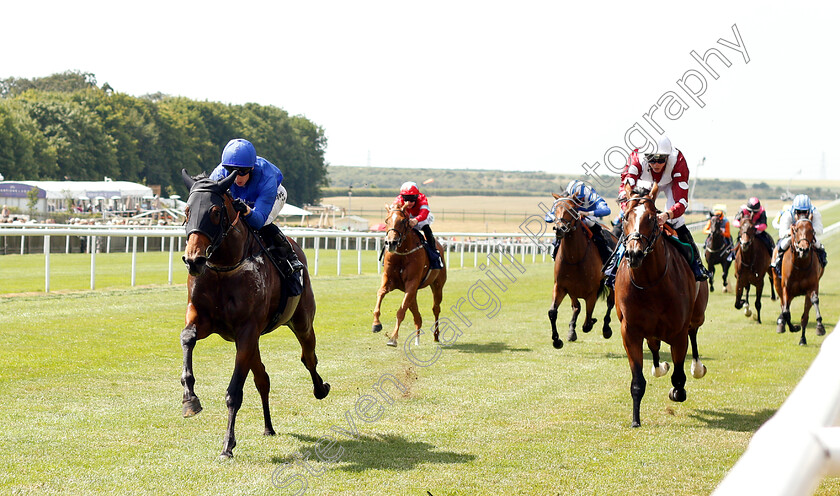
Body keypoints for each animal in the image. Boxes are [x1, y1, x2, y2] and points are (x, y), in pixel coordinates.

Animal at [181, 170, 332, 458]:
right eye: (186, 210)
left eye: (214, 212)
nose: (194, 260)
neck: (224, 267)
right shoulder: (204, 318)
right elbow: (187, 338)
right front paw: (189, 398)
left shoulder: (247, 330)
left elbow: (234, 392)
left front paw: (228, 445)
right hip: (253, 342)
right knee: (263, 378)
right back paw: (268, 427)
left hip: (301, 321)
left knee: (308, 356)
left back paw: (321, 388)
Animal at [370, 203, 446, 346]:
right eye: (386, 220)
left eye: (403, 221)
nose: (391, 243)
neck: (402, 253)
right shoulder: (389, 280)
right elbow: (380, 293)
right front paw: (376, 324)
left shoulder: (412, 282)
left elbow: (401, 310)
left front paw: (393, 338)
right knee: (416, 313)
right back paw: (417, 337)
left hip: (437, 285)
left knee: (436, 308)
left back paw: (436, 335)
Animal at [548, 192, 612, 346]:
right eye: (556, 208)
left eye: (572, 209)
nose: (559, 228)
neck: (574, 258)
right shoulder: (561, 286)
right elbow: (552, 312)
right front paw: (556, 340)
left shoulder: (592, 292)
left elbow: (587, 322)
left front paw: (594, 321)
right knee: (576, 306)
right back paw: (572, 330)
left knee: (610, 302)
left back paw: (606, 328)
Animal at [612, 184, 708, 428]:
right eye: (625, 217)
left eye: (652, 218)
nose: (634, 253)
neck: (649, 283)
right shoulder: (630, 331)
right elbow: (637, 381)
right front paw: (635, 420)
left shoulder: (678, 331)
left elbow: (679, 377)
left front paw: (677, 391)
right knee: (654, 345)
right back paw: (659, 367)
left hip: (697, 314)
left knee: (694, 333)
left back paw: (697, 367)